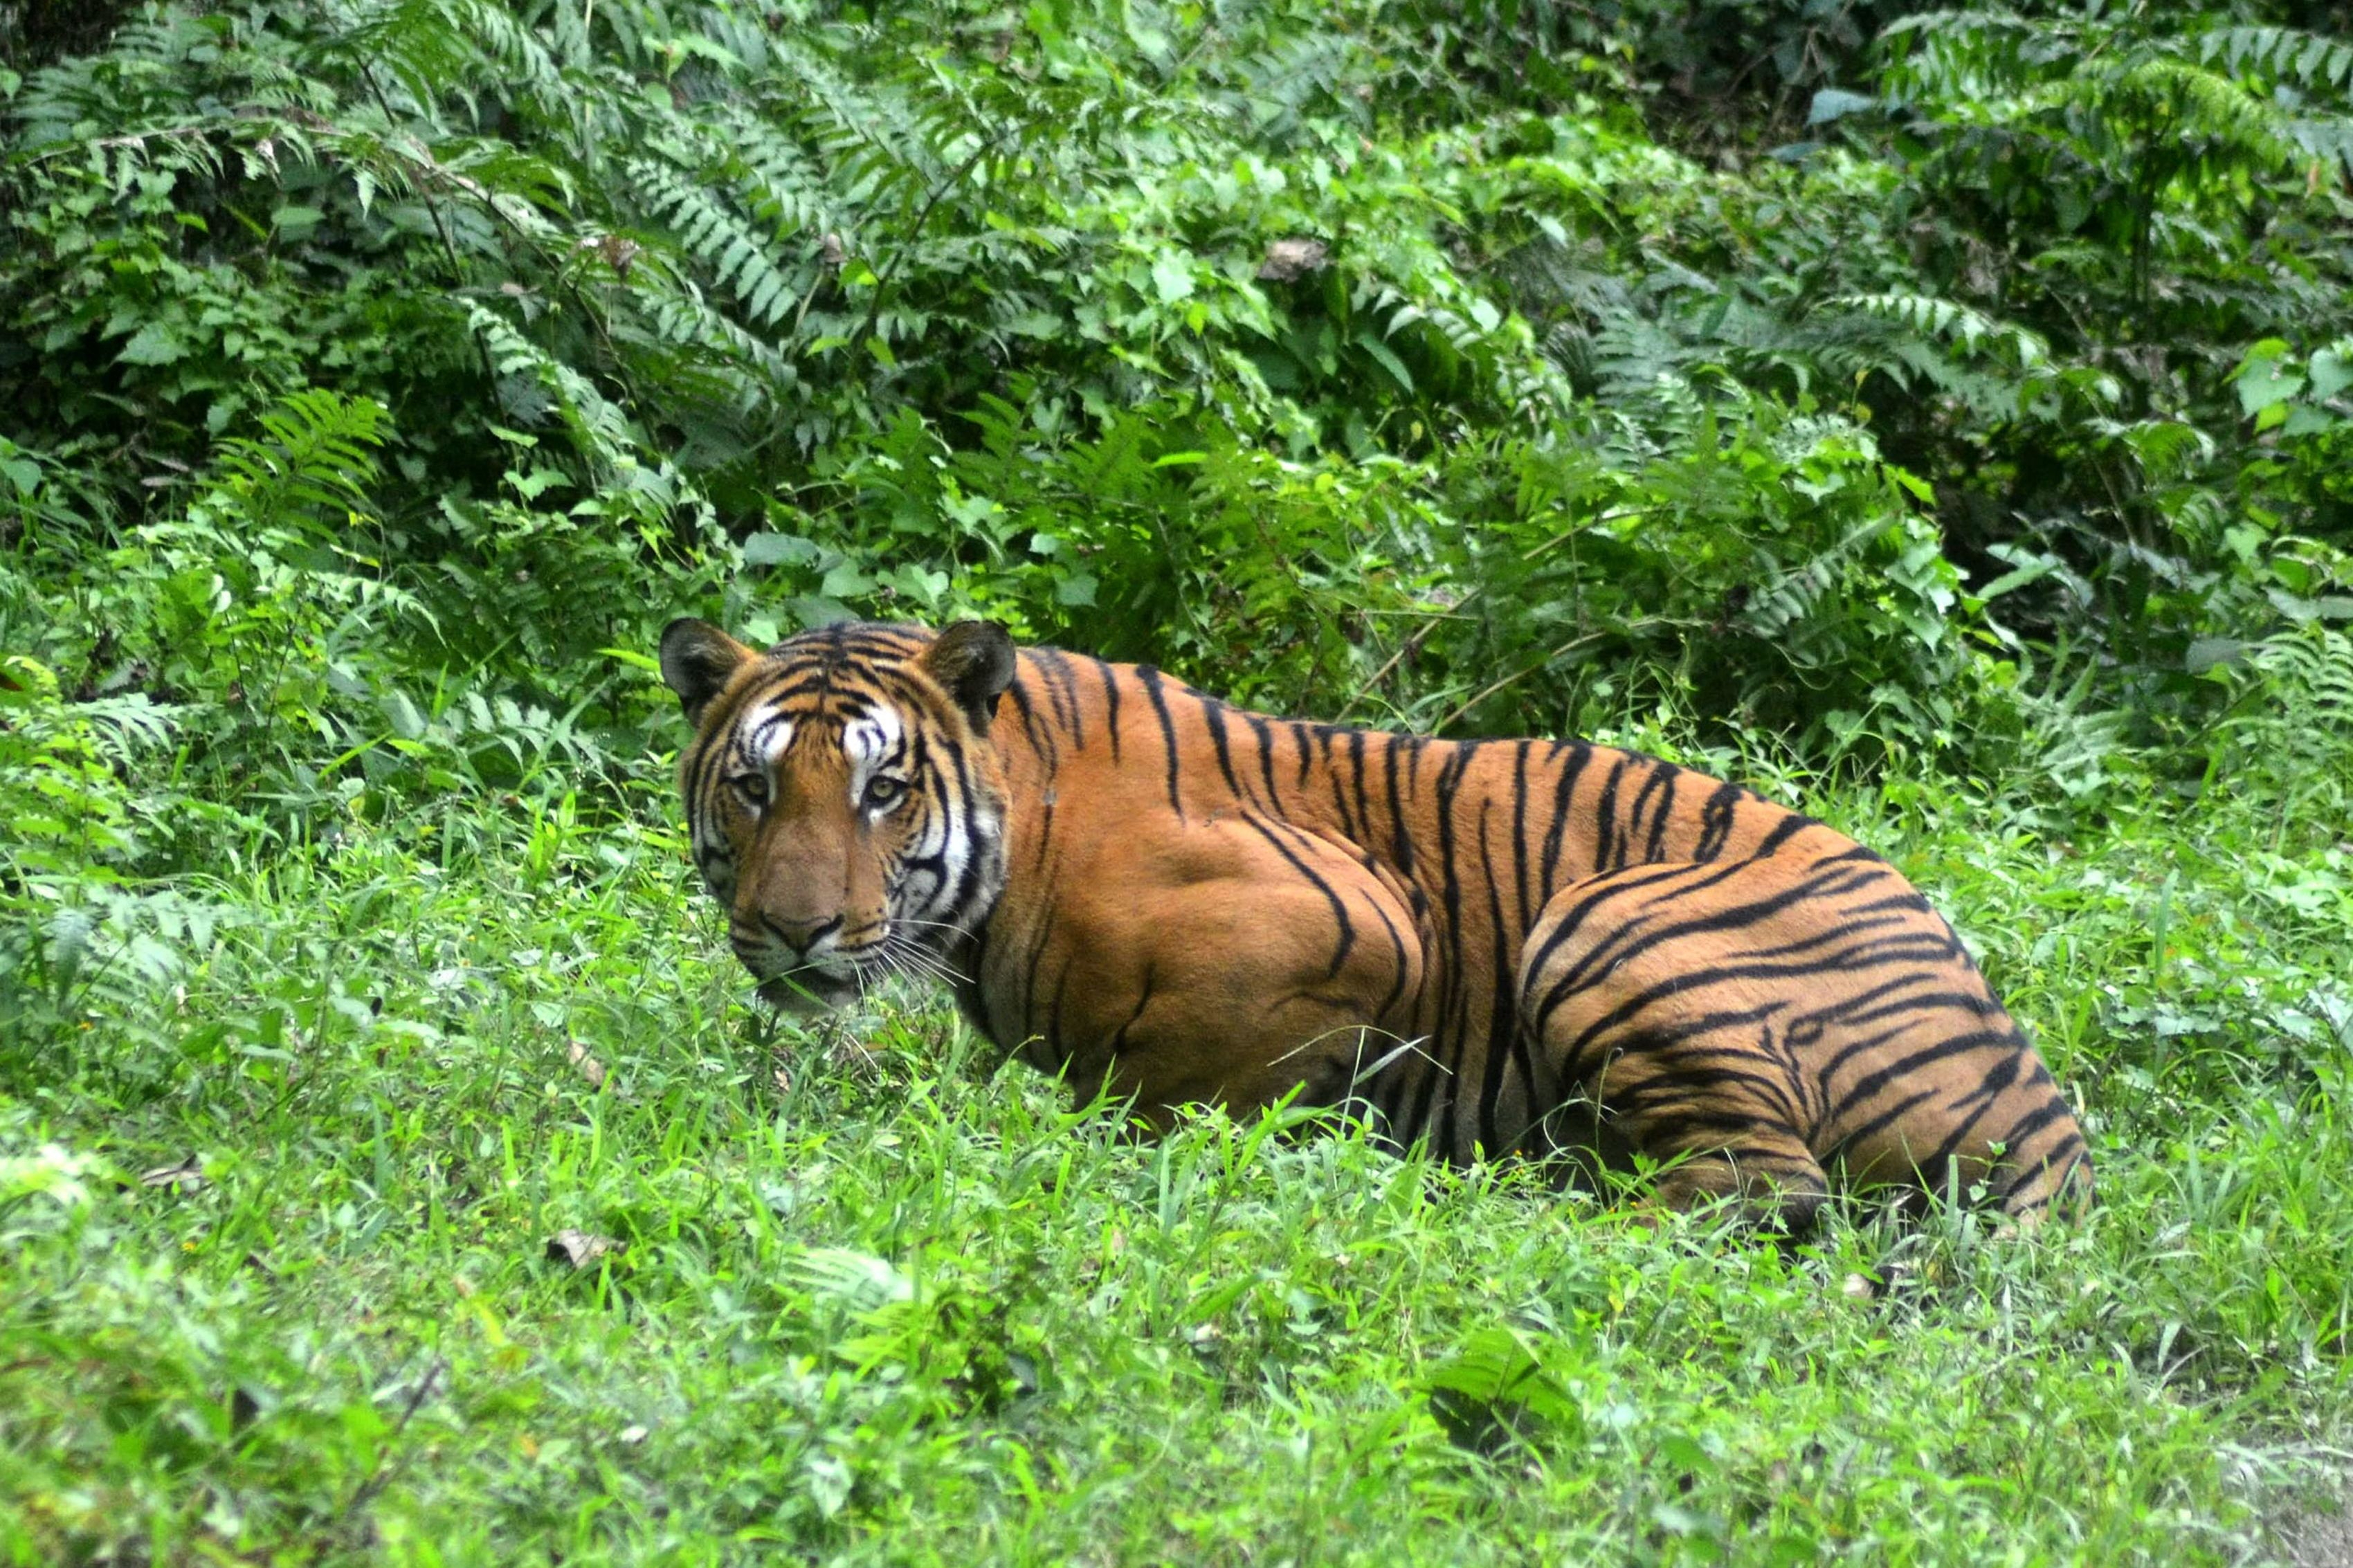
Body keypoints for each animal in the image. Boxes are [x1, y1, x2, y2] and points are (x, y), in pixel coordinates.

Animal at [659, 612, 2098, 1224]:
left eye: (884, 789)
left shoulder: (1356, 922)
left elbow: (1184, 1090)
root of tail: (2046, 1111)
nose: (793, 930)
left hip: (1608, 921)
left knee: (1761, 1192)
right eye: (755, 784)